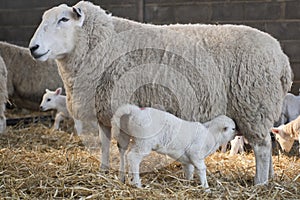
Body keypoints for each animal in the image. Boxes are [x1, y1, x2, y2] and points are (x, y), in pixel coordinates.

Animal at [28, 0, 292, 184]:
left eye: (64, 19)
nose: (33, 48)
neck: (104, 43)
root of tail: (282, 59)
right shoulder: (103, 110)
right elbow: (104, 145)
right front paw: (104, 172)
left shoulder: (122, 104)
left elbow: (121, 147)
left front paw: (123, 177)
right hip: (259, 110)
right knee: (266, 143)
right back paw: (269, 178)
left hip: (253, 105)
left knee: (261, 148)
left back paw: (259, 183)